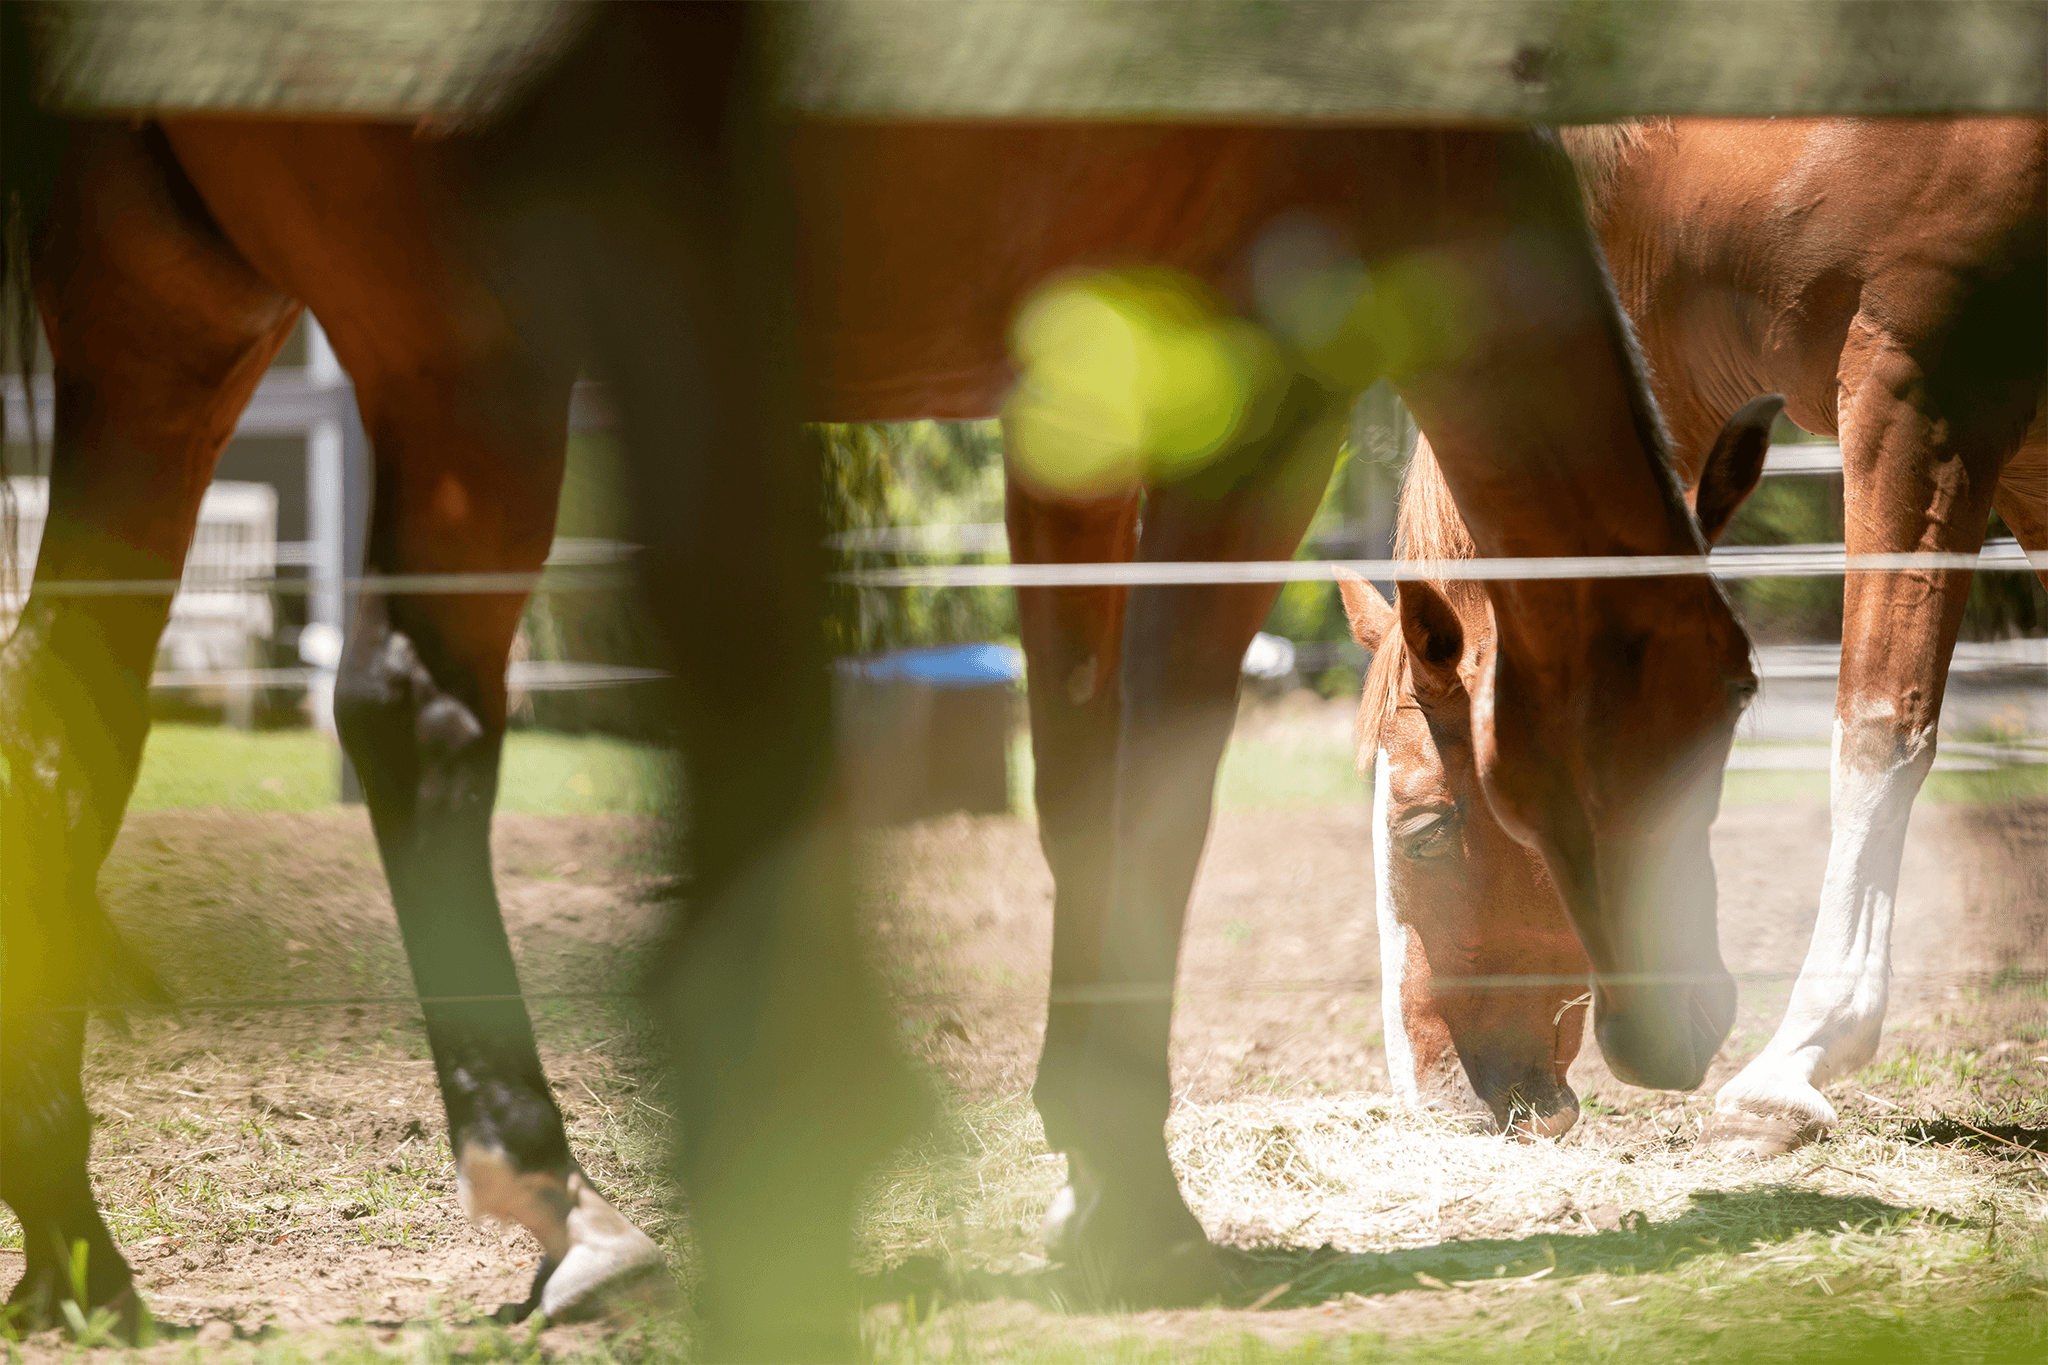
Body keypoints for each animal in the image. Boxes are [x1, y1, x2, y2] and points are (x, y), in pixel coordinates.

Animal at [4, 101, 1761, 1342]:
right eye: (1731, 693)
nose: (1693, 1025)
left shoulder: (1070, 432)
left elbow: (1079, 782)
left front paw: (1089, 1161)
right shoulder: (1248, 400)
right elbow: (1160, 776)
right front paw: (1135, 1204)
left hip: (172, 347)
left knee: (63, 737)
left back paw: (82, 1255)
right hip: (467, 372)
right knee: (413, 720)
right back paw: (565, 1209)